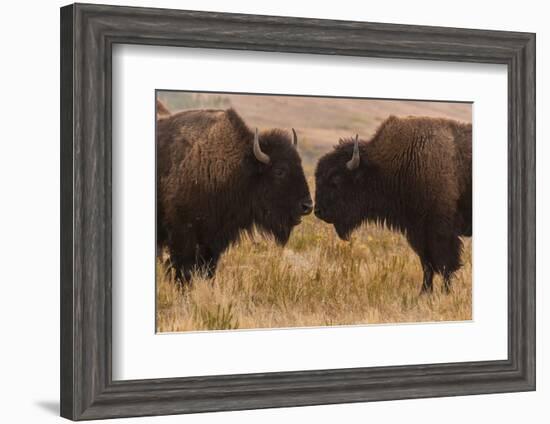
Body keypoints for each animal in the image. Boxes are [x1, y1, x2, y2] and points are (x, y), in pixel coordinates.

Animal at [157, 107, 312, 284]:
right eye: (280, 171)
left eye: (300, 164)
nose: (307, 206)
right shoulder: (183, 235)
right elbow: (183, 269)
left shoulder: (212, 241)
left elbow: (208, 268)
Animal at [314, 116, 474, 294]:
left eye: (336, 181)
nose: (318, 211)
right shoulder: (418, 232)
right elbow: (427, 264)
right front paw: (424, 293)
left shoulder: (441, 232)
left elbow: (446, 265)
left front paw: (445, 293)